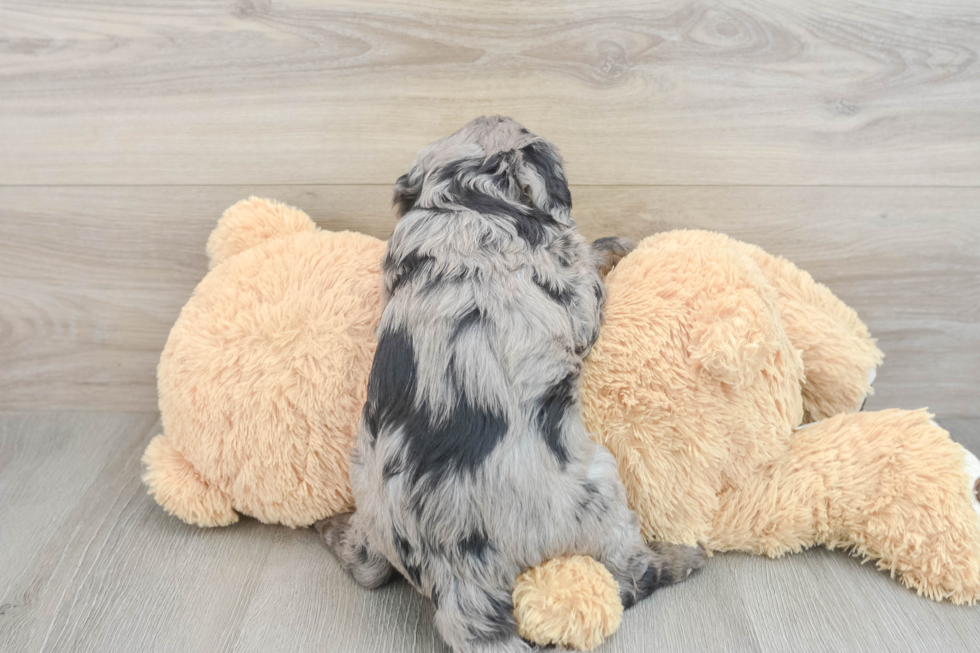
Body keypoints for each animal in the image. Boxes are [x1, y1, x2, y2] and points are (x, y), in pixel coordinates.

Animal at [318, 117, 700, 652]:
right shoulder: (576, 293)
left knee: (367, 567)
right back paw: (683, 558)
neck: (460, 200)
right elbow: (589, 268)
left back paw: (329, 527)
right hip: (600, 490)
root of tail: (455, 581)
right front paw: (616, 246)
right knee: (632, 574)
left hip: (371, 509)